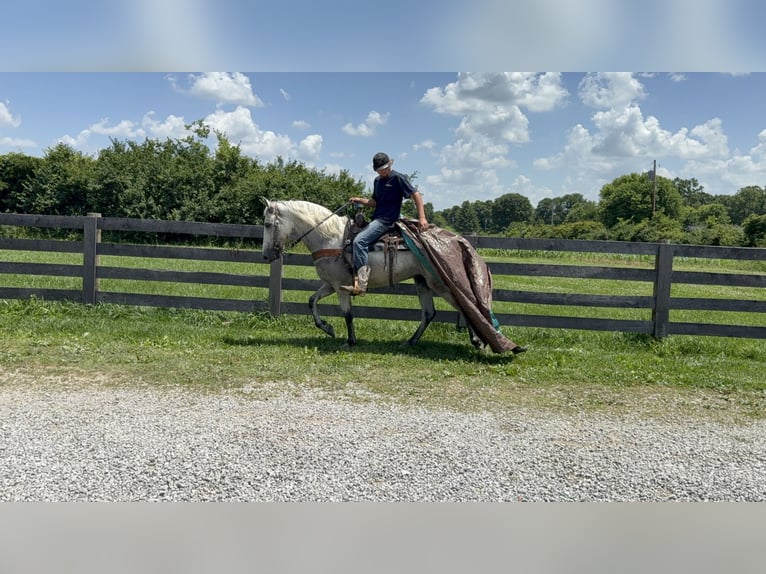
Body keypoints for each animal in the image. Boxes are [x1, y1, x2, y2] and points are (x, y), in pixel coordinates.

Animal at [261, 199, 485, 350]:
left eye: (267, 224)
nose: (266, 255)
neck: (330, 238)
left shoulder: (341, 287)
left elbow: (348, 314)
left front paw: (350, 341)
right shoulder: (331, 284)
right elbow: (311, 301)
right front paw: (327, 328)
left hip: (439, 284)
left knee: (465, 306)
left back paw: (476, 341)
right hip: (422, 282)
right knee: (429, 313)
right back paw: (410, 342)